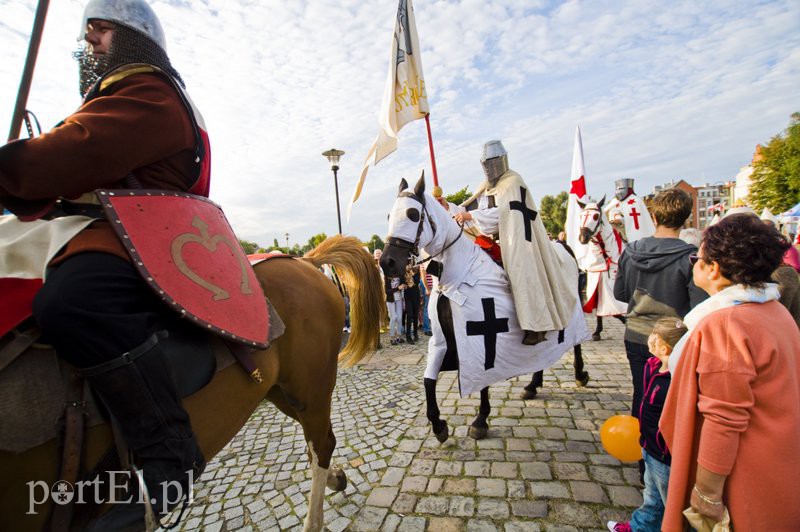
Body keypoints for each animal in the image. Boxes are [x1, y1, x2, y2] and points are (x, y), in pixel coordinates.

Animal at [0, 236, 388, 532]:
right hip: (282, 392)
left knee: (321, 443)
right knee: (316, 444)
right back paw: (335, 480)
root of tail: (306, 261)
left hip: (311, 388)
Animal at [378, 177, 592, 442]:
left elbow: (481, 381)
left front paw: (480, 420)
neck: (458, 275)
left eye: (413, 214)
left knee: (576, 343)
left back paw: (580, 375)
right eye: (389, 215)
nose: (387, 263)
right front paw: (438, 425)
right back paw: (533, 384)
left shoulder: (481, 343)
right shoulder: (441, 341)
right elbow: (428, 380)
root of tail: (564, 247)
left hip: (572, 314)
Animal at [580, 196, 628, 340]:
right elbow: (599, 307)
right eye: (582, 215)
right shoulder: (595, 279)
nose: (583, 237)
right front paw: (597, 331)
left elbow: (616, 311)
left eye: (596, 216)